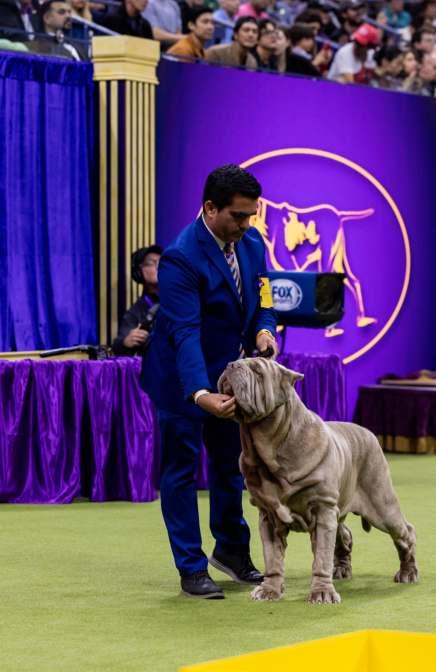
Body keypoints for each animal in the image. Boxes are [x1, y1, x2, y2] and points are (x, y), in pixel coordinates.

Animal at [218, 358, 418, 604]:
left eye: (257, 370)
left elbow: (321, 555)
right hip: (340, 508)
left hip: (382, 506)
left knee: (405, 533)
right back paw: (341, 569)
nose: (230, 365)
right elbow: (272, 557)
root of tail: (369, 433)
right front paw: (269, 589)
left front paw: (322, 592)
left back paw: (408, 573)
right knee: (344, 535)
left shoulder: (322, 510)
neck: (269, 443)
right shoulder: (269, 516)